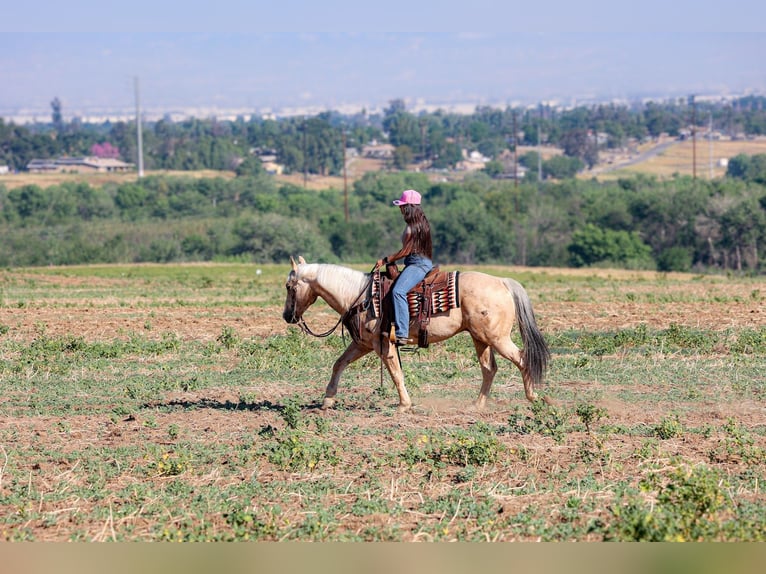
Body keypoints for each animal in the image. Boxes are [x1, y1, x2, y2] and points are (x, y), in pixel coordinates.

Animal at [282, 256, 551, 412]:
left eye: (288, 286)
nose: (287, 316)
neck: (361, 296)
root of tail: (502, 282)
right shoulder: (363, 344)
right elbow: (339, 364)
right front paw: (327, 400)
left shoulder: (383, 345)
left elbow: (396, 373)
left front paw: (404, 404)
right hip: (480, 339)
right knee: (489, 369)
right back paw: (478, 404)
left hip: (497, 338)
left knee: (522, 358)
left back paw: (534, 397)